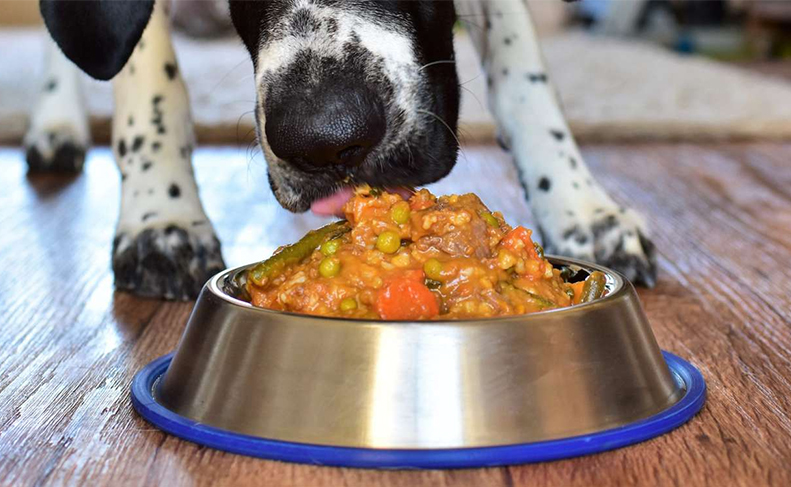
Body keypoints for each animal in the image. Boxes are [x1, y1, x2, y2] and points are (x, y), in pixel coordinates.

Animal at [27, 0, 656, 300]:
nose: (326, 141)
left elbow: (523, 75)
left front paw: (581, 210)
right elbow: (151, 81)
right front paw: (164, 215)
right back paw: (55, 122)